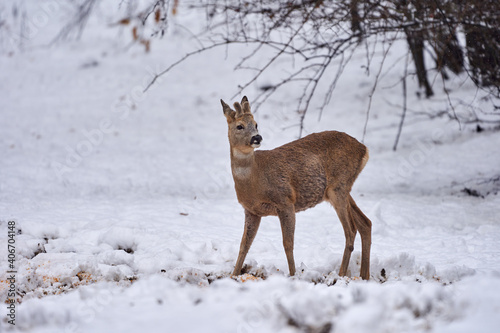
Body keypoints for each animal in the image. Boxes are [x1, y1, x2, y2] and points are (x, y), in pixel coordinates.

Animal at [223, 95, 372, 278]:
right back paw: (364, 276)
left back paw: (342, 274)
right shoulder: (252, 211)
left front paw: (293, 275)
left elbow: (288, 243)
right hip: (339, 189)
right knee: (365, 223)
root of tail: (364, 149)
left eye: (256, 124)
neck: (255, 179)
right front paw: (233, 275)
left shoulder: (286, 201)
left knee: (351, 231)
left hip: (339, 186)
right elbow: (244, 245)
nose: (257, 138)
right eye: (239, 126)